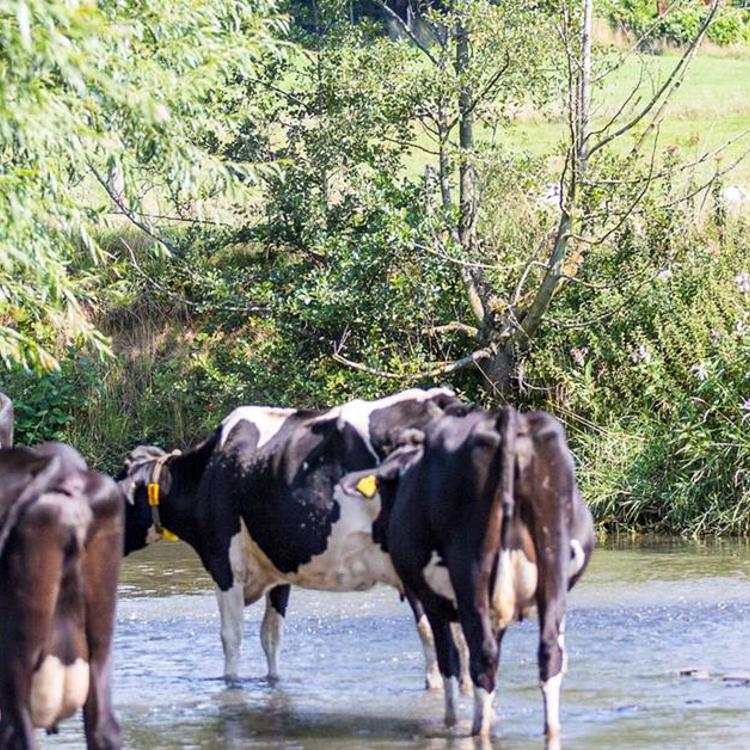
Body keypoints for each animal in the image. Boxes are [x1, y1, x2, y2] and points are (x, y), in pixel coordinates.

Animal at [118, 390, 462, 692]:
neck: (206, 472)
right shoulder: (278, 566)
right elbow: (271, 635)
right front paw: (273, 682)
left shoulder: (225, 563)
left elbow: (231, 635)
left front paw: (230, 683)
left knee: (437, 634)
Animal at [344, 406, 596, 740]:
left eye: (385, 488)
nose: (378, 530)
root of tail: (507, 418)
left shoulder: (431, 599)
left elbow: (448, 658)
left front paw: (450, 721)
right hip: (551, 562)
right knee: (548, 653)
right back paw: (549, 730)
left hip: (472, 569)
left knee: (483, 655)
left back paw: (479, 729)